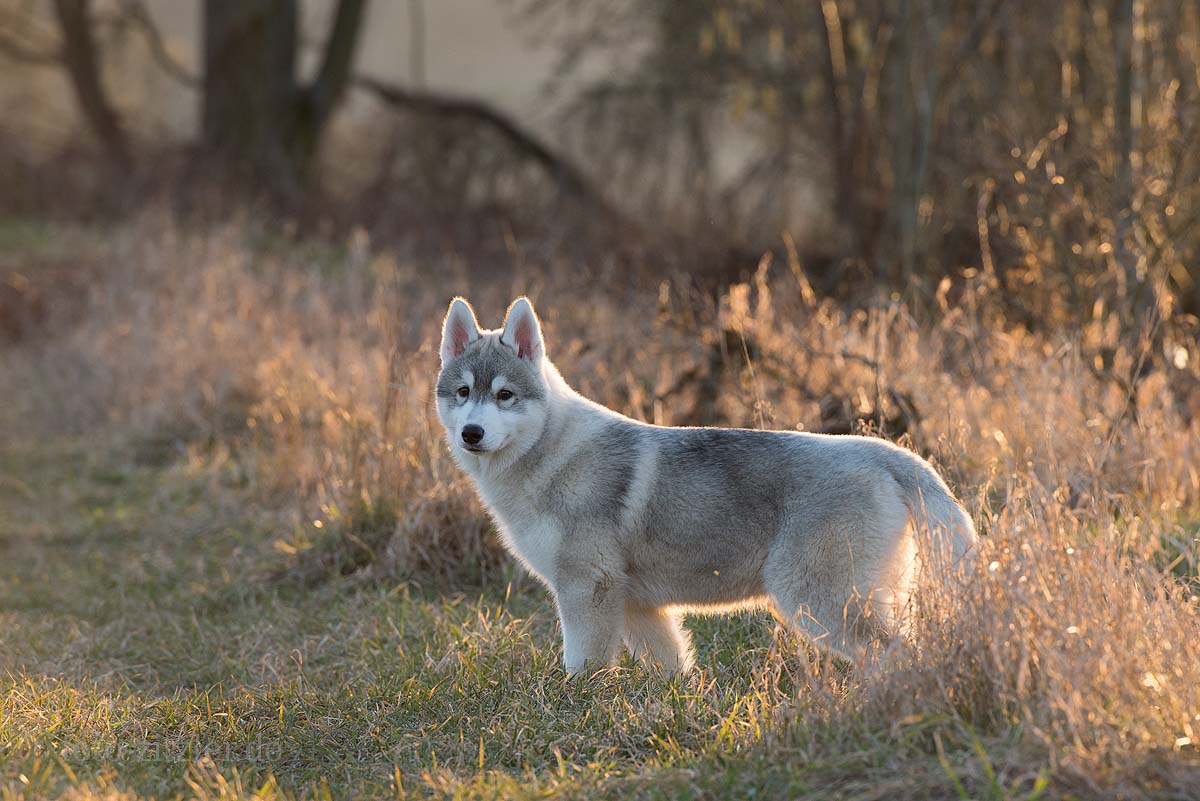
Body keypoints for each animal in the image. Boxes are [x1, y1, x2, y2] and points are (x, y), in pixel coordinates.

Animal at [436, 297, 979, 671]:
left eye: (505, 395)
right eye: (463, 392)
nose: (471, 433)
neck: (551, 452)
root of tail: (889, 454)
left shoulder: (588, 588)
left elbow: (581, 669)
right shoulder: (638, 605)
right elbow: (675, 670)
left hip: (817, 600)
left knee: (898, 655)